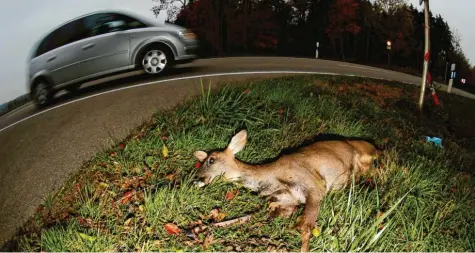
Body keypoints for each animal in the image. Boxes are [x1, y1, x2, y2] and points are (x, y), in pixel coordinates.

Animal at [193, 129, 380, 252]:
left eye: (211, 160)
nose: (196, 177)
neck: (272, 178)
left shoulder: (315, 186)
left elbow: (306, 229)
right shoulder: (283, 203)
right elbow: (247, 217)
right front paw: (200, 228)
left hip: (365, 156)